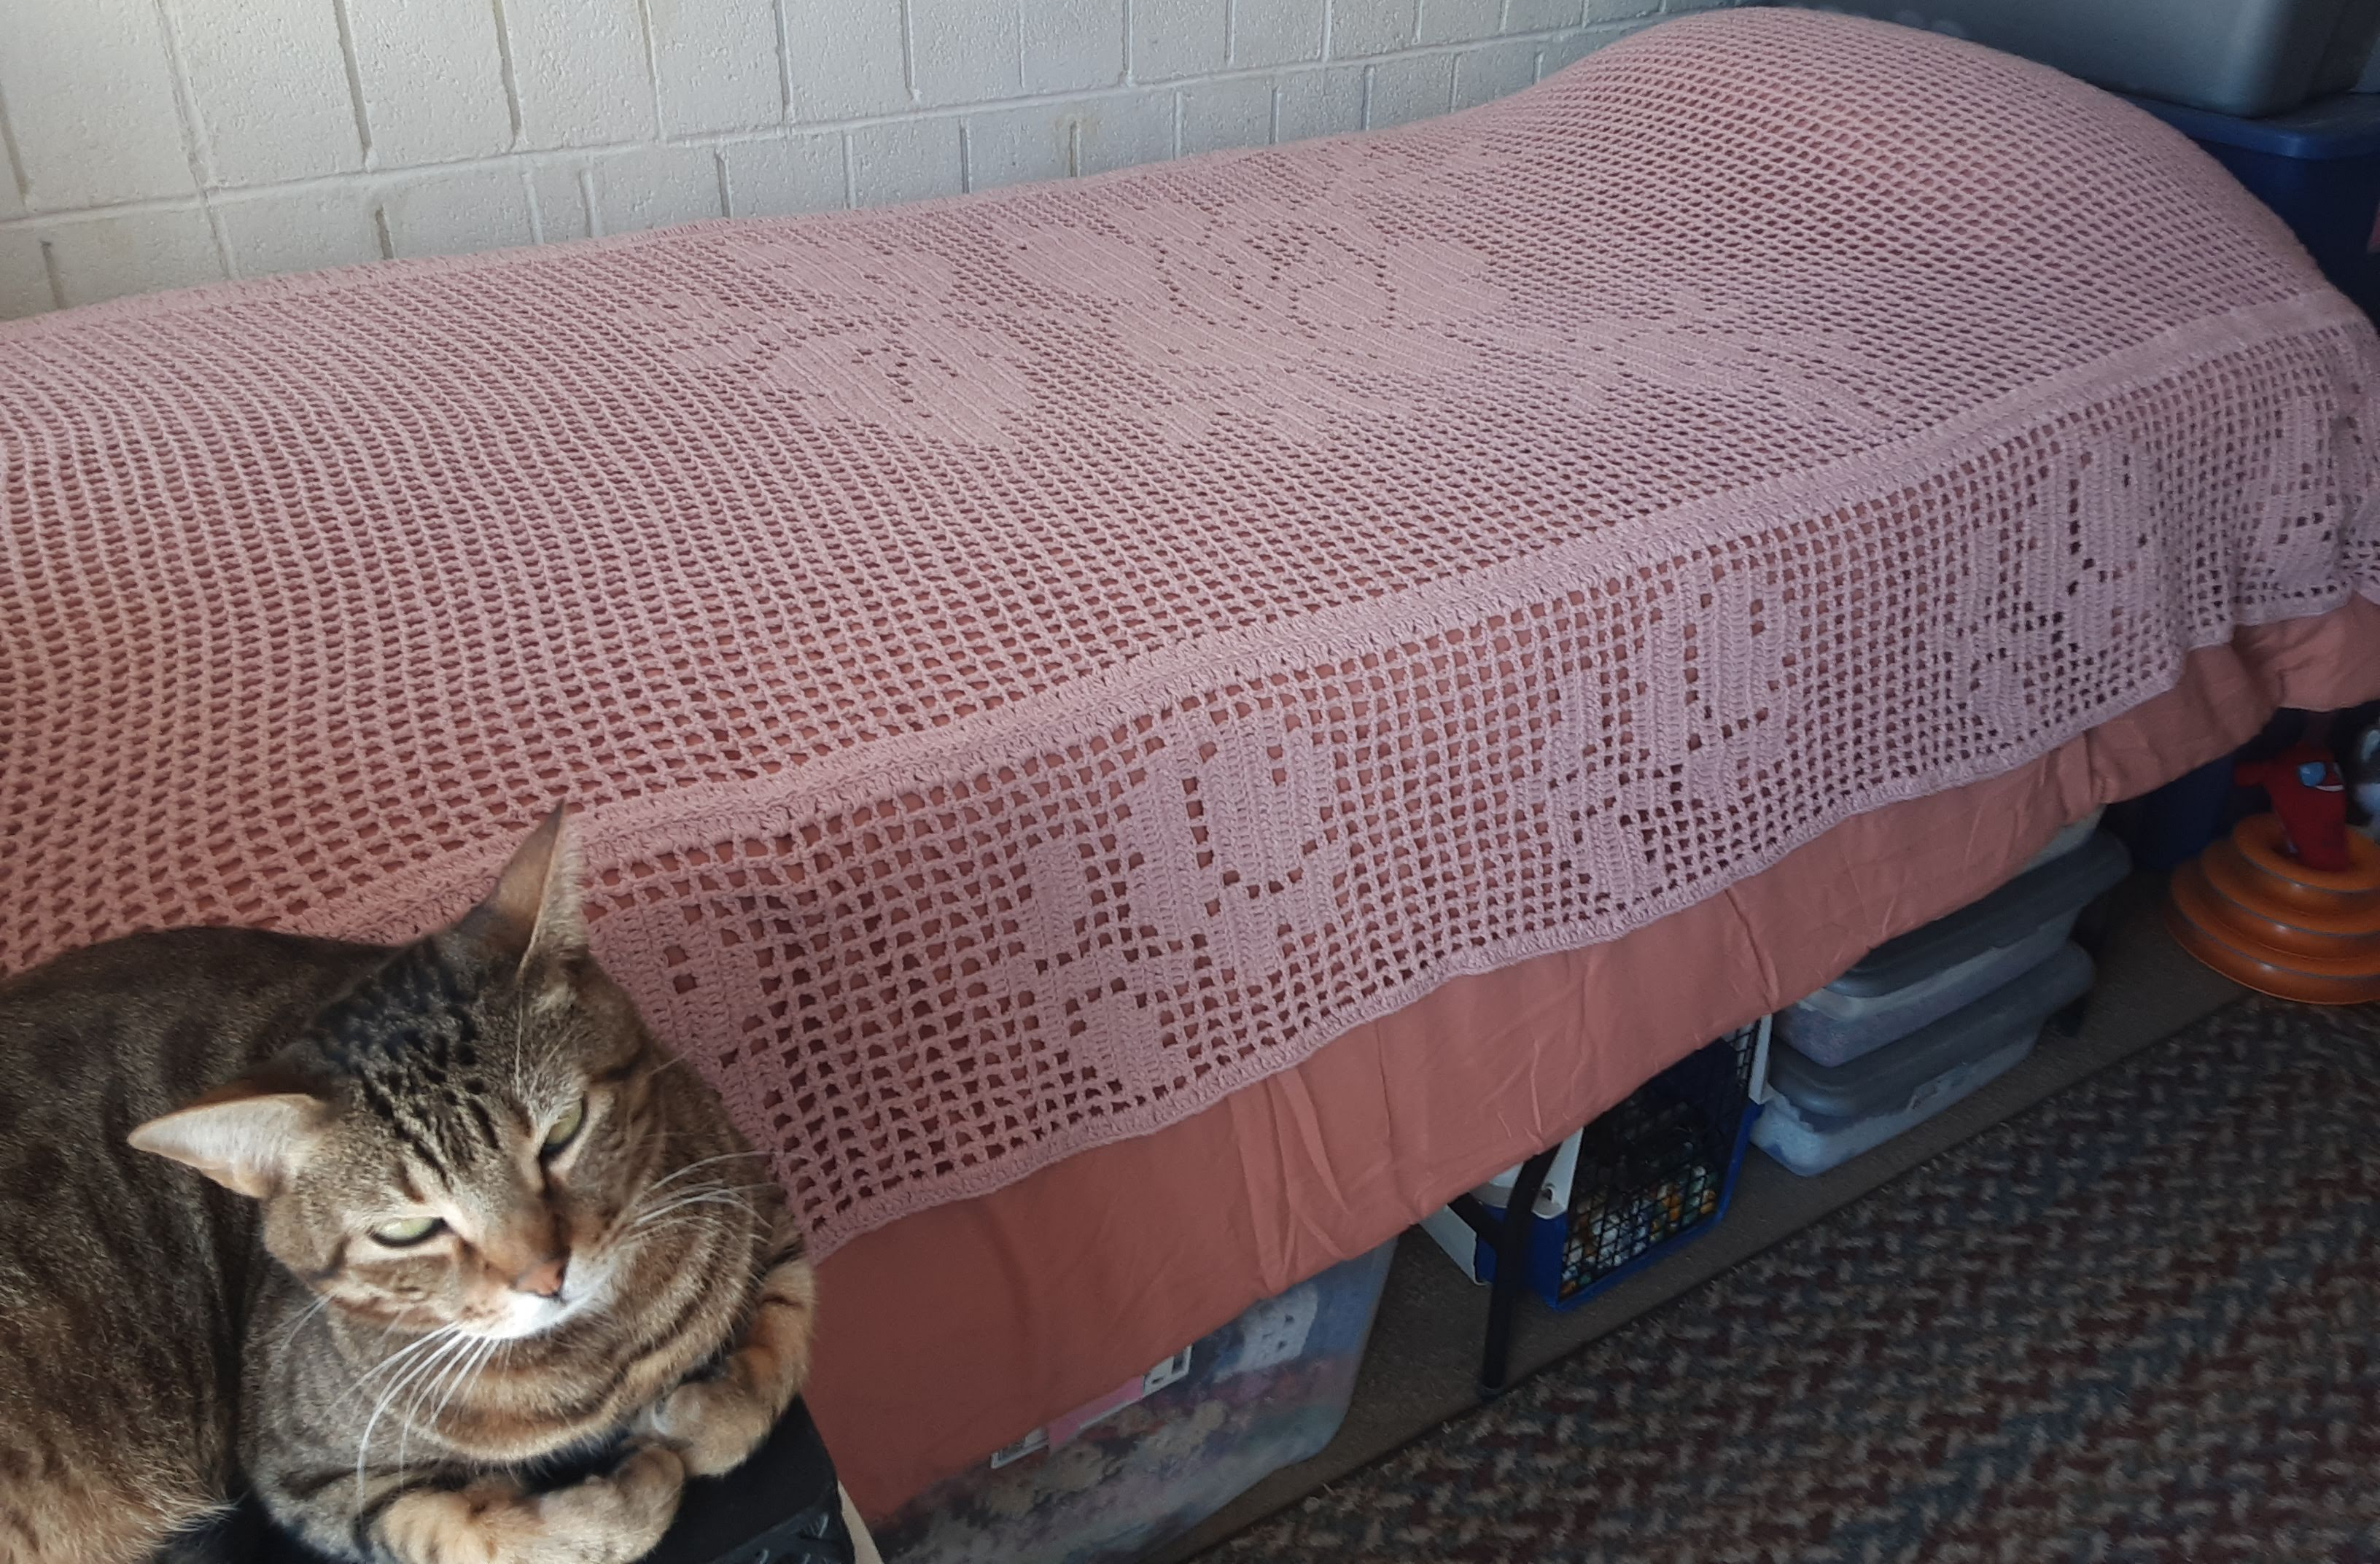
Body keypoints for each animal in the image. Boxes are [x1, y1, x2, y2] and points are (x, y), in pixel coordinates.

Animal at [0, 810, 817, 1564]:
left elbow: (783, 1328)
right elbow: (477, 1535)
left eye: (562, 1131)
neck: (602, 1358)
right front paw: (634, 1487)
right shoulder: (309, 1475)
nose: (546, 1275)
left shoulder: (757, 1193)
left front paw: (706, 1414)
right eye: (405, 1231)